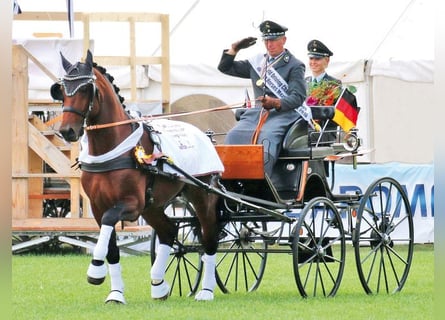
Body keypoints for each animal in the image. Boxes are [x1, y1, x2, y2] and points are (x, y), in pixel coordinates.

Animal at [50, 50, 222, 302]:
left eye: (85, 89)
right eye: (61, 90)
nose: (67, 131)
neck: (112, 147)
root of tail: (204, 134)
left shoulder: (131, 204)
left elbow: (111, 220)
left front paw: (95, 269)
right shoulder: (99, 206)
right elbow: (111, 249)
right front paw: (115, 293)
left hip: (201, 195)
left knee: (209, 237)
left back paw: (207, 290)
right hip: (153, 206)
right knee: (168, 232)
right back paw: (159, 284)